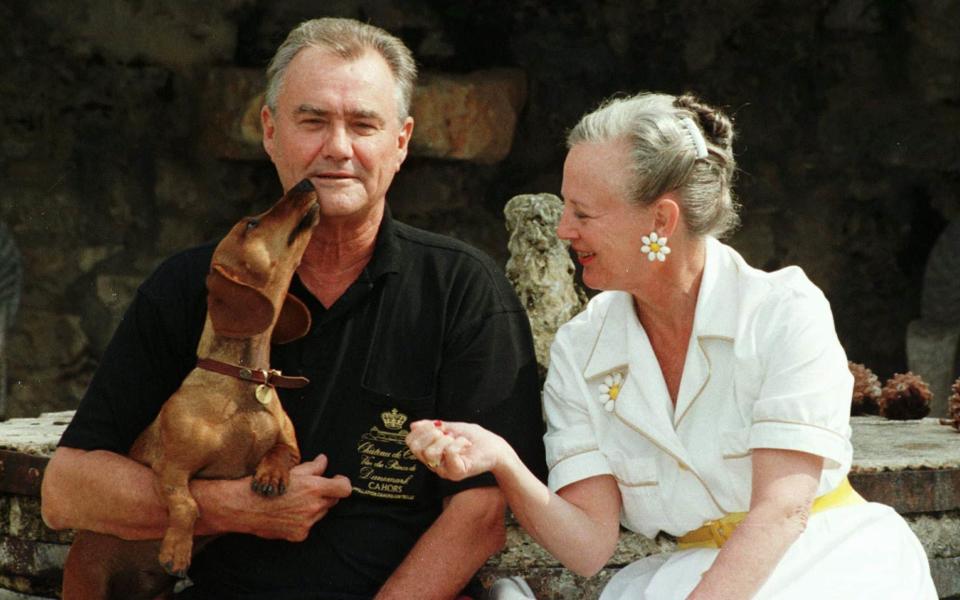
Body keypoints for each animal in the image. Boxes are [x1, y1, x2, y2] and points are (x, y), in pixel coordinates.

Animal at [62, 179, 320, 600]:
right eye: (251, 223)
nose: (307, 182)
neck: (242, 379)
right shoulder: (171, 470)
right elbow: (187, 505)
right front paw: (177, 551)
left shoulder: (289, 444)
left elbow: (281, 452)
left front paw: (271, 476)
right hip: (85, 584)